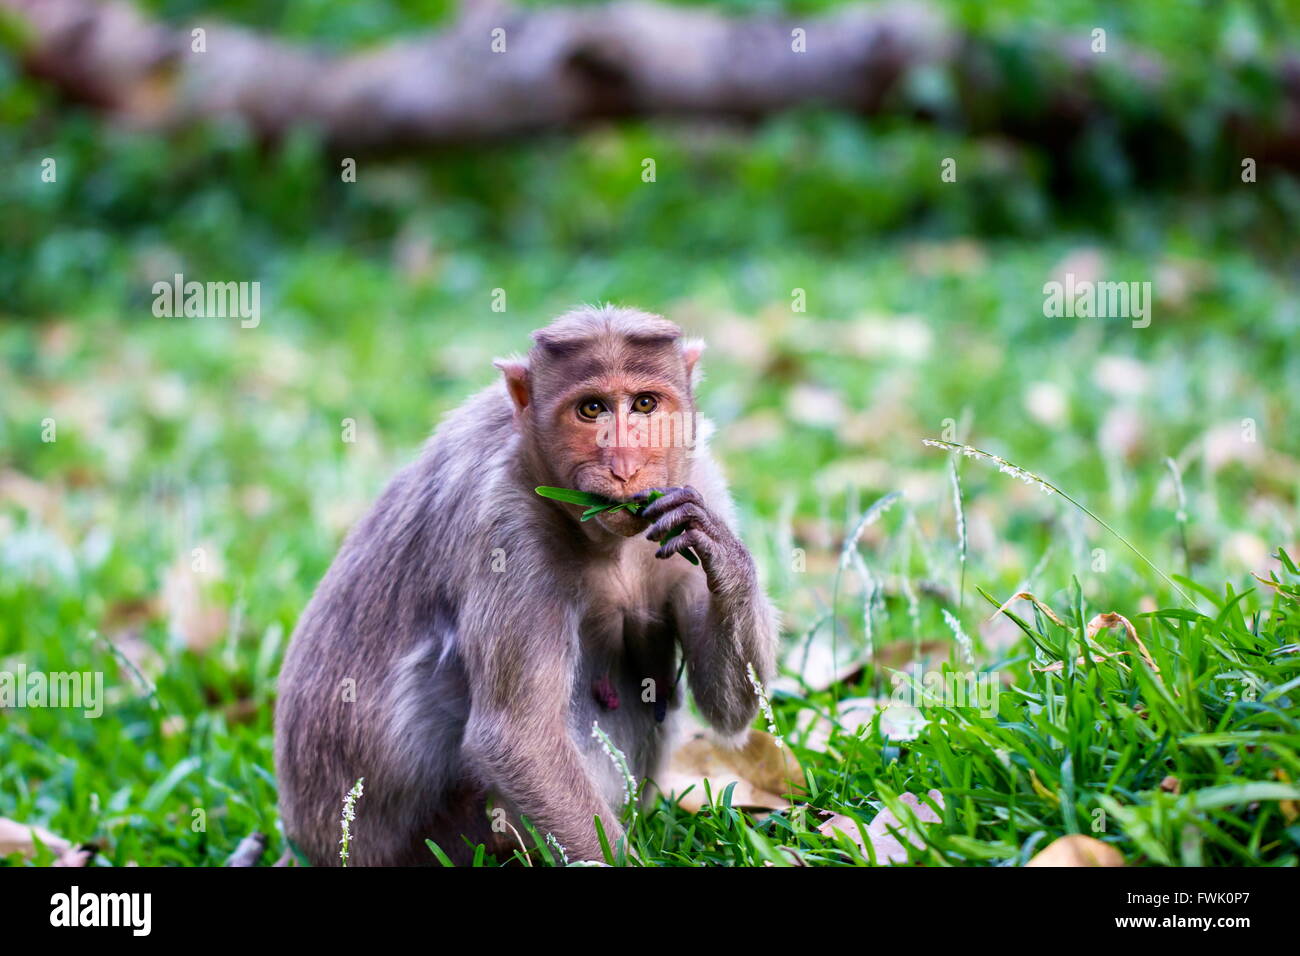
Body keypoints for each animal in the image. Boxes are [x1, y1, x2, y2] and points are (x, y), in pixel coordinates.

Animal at [275, 306, 774, 868]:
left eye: (645, 404)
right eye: (591, 409)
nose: (624, 467)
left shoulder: (697, 484)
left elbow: (729, 711)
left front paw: (723, 554)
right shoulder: (508, 528)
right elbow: (518, 740)